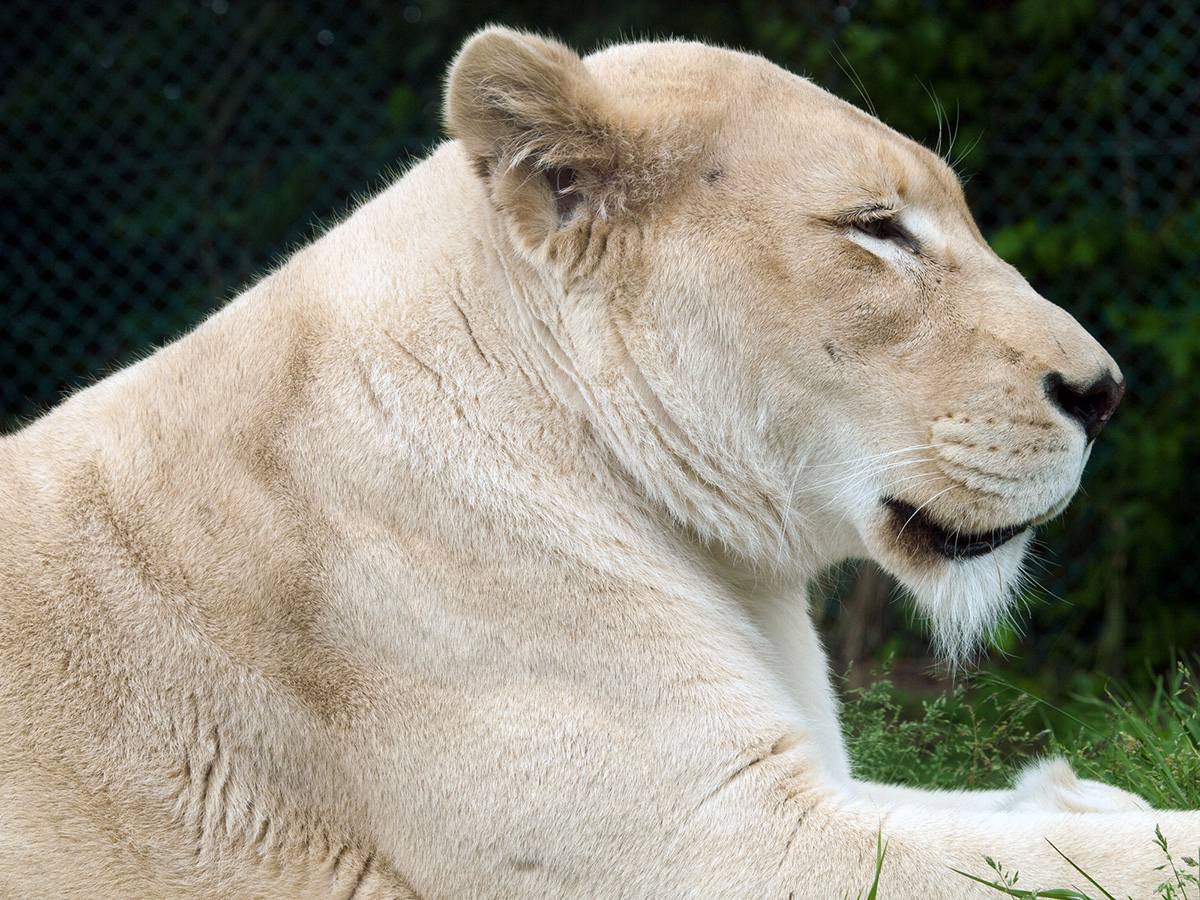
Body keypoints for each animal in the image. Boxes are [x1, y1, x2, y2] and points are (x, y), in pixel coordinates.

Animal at [4, 24, 1195, 897]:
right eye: (878, 229)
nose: (1105, 392)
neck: (726, 570)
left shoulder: (794, 786)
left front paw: (1082, 791)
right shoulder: (721, 846)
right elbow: (1115, 863)